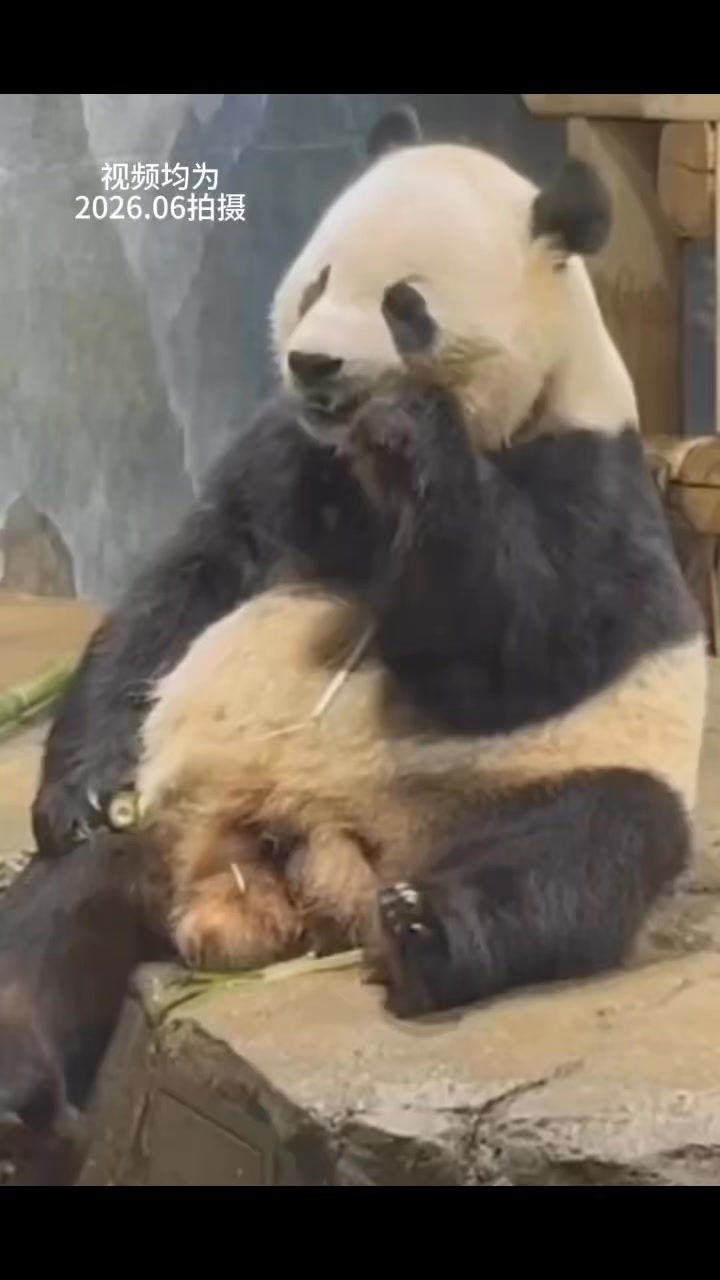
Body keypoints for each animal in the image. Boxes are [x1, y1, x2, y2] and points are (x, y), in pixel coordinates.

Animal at [0, 104, 707, 1126]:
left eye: (405, 305)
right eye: (319, 280)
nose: (313, 363)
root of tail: (293, 870)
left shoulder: (592, 481)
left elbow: (520, 650)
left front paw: (416, 433)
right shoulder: (290, 455)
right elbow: (187, 586)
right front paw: (83, 786)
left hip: (541, 786)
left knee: (582, 851)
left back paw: (424, 932)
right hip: (162, 822)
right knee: (52, 916)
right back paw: (17, 1071)